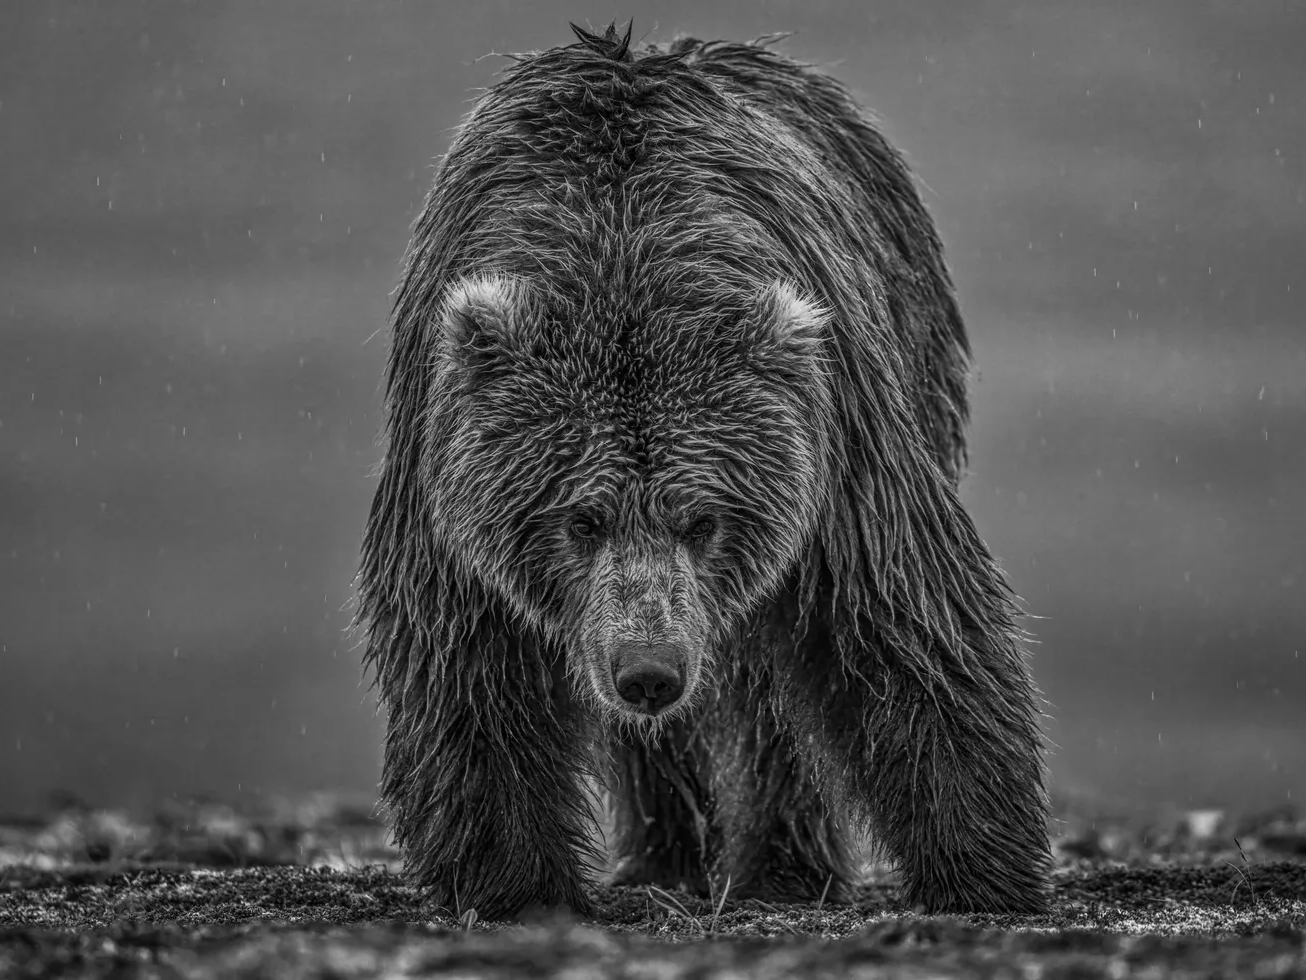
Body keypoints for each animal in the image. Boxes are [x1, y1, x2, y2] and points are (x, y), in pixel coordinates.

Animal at [356, 22, 1051, 921]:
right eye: (581, 517)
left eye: (702, 517)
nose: (649, 671)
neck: (621, 245)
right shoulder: (447, 468)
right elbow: (469, 662)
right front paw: (517, 881)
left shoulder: (836, 438)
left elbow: (903, 614)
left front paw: (982, 871)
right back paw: (667, 858)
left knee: (769, 698)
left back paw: (785, 865)